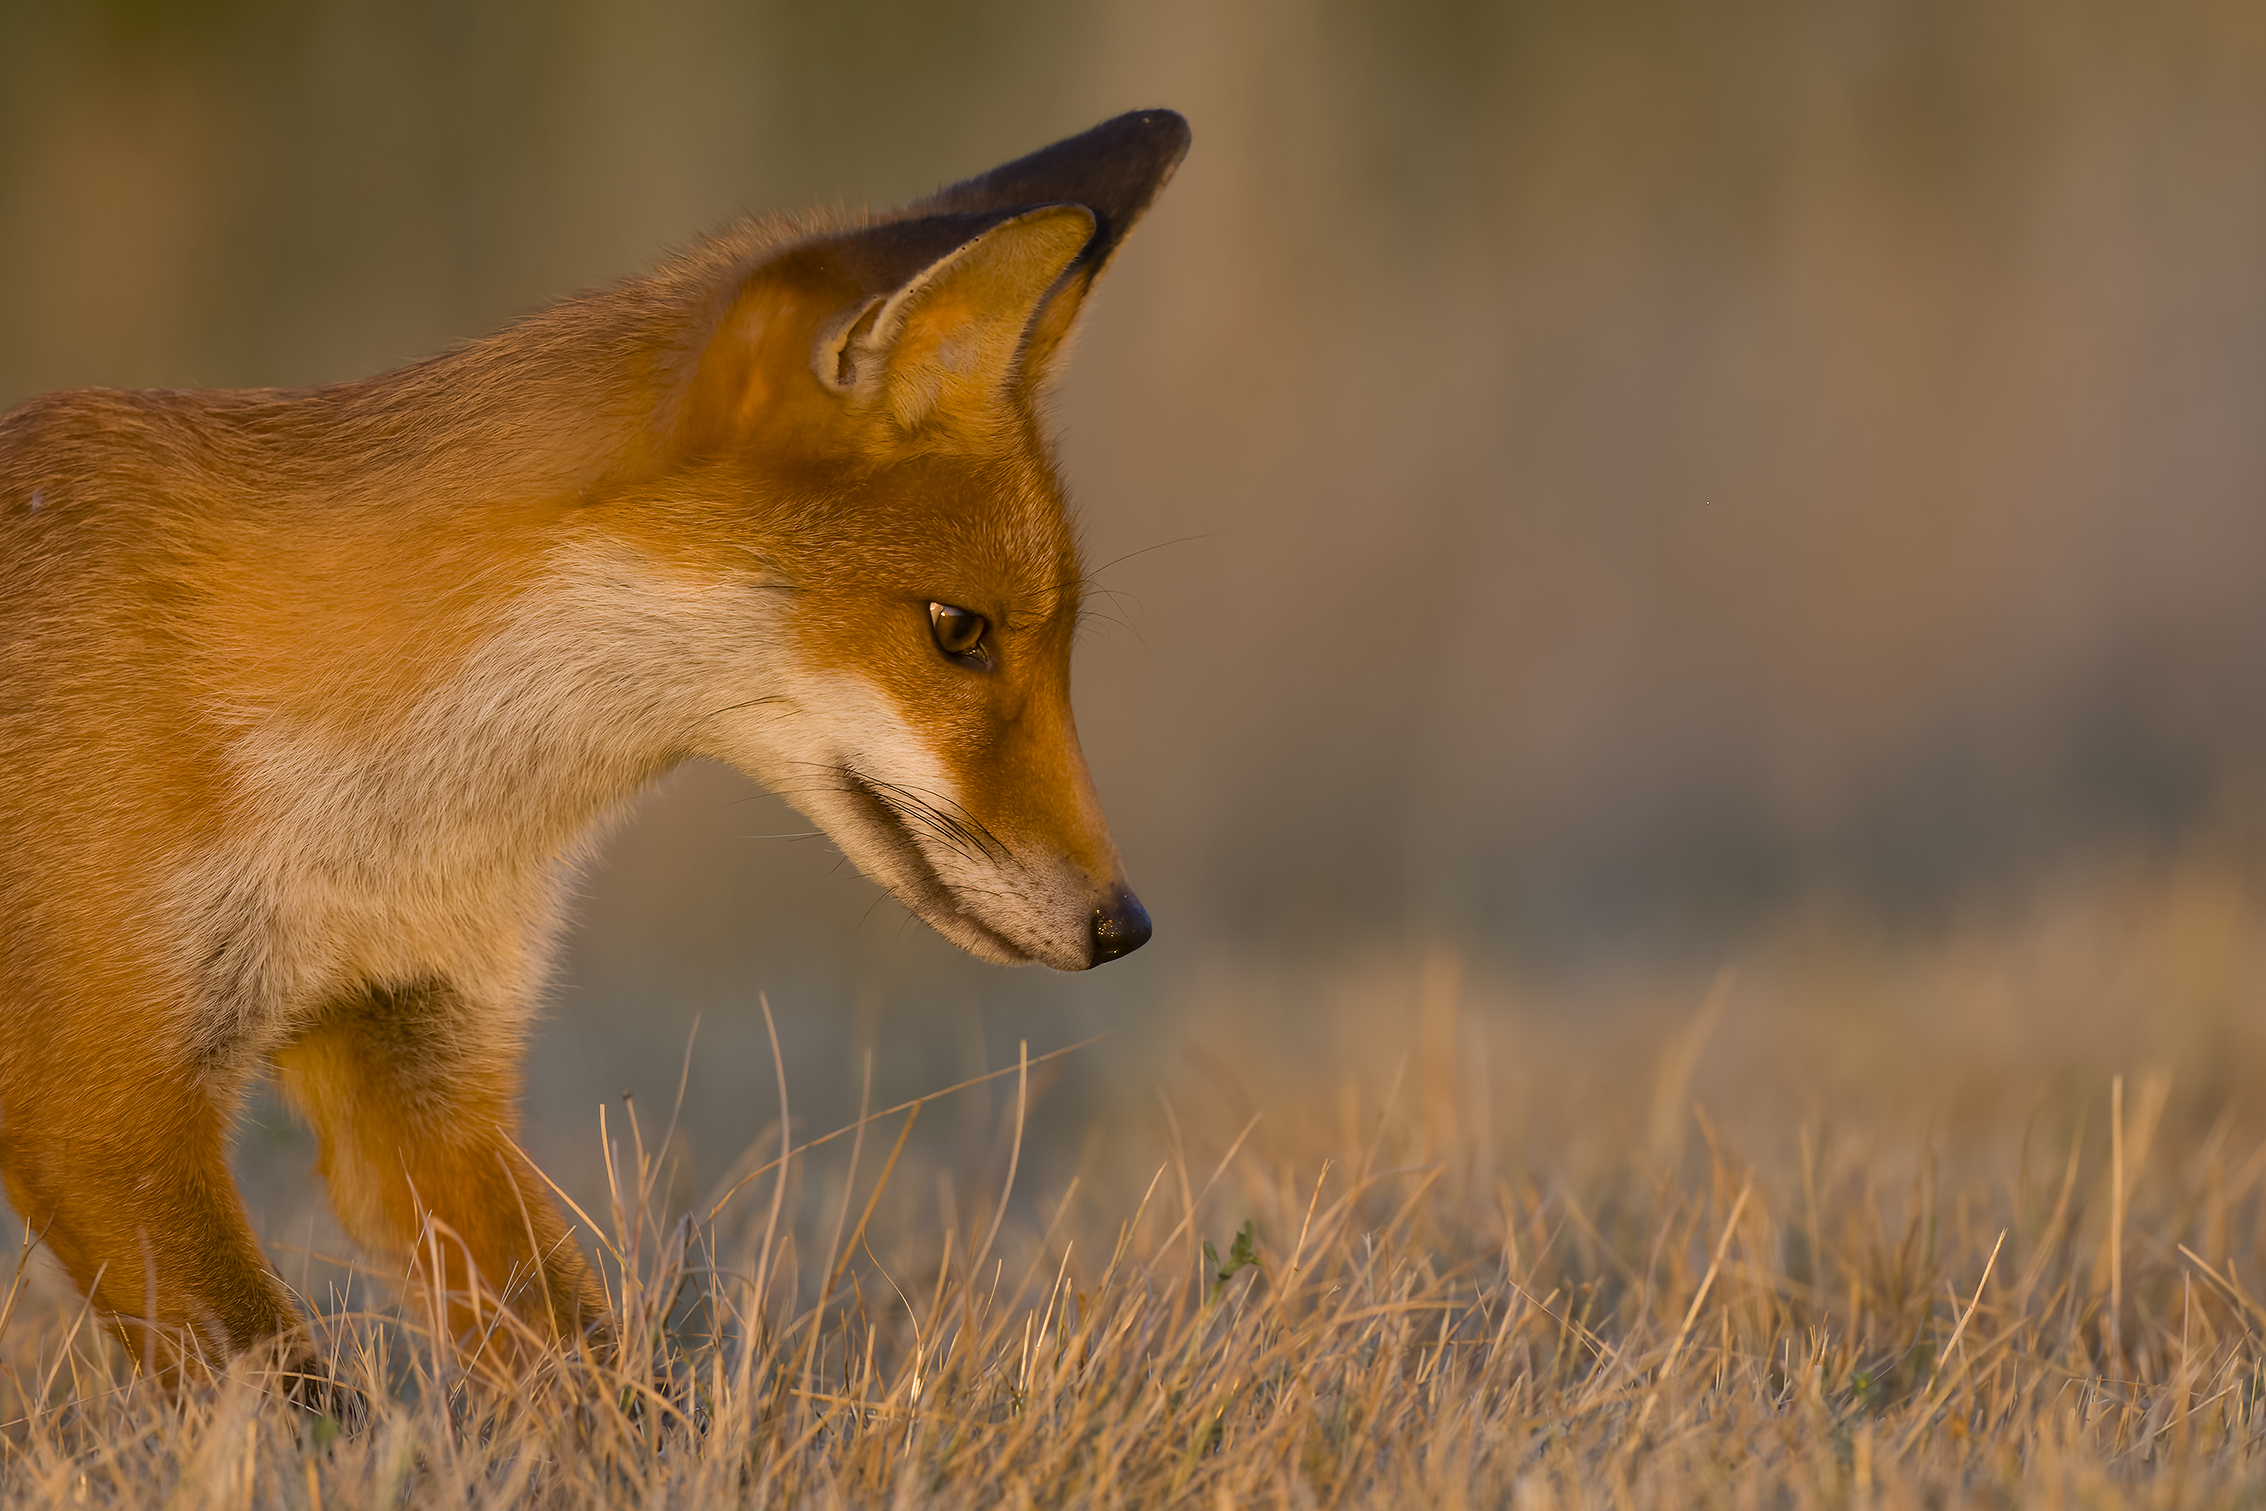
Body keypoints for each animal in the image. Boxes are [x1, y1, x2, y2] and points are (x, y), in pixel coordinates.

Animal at [0, 109, 1186, 1394]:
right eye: (957, 630)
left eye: (1055, 640)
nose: (1125, 925)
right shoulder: (105, 1111)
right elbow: (290, 1395)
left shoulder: (415, 1070)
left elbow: (589, 1370)